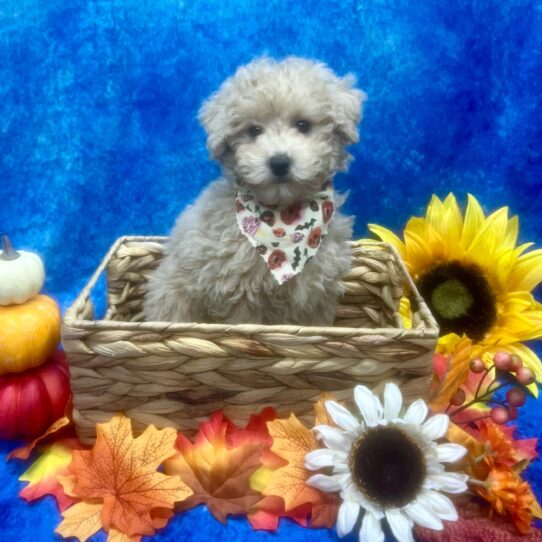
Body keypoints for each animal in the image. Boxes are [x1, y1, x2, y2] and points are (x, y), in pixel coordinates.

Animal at [143, 57, 366, 326]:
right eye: (253, 131)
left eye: (303, 125)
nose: (279, 162)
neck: (284, 217)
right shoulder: (239, 296)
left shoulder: (315, 295)